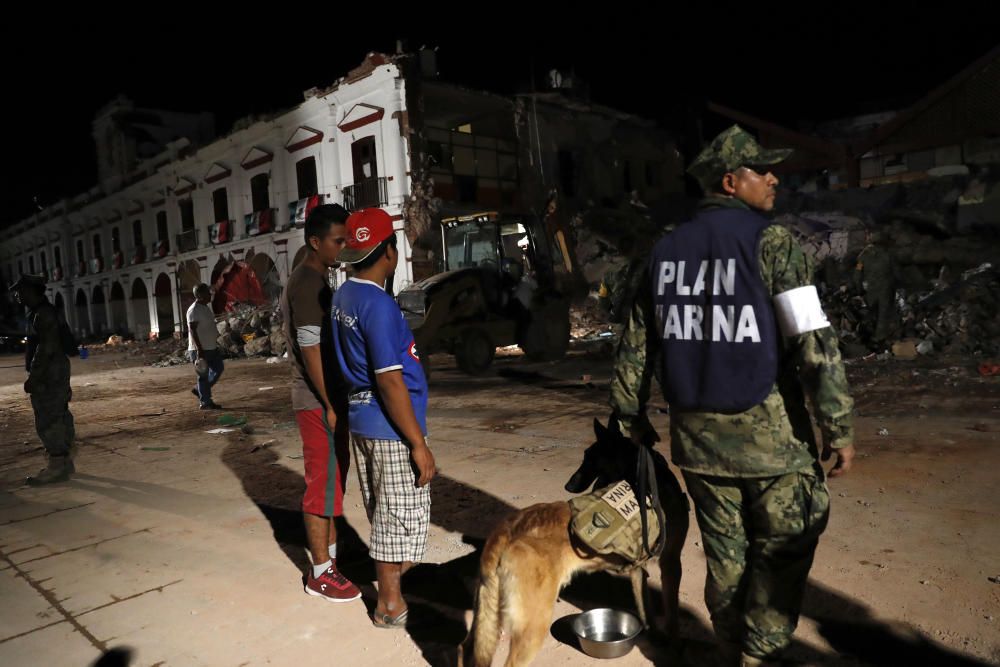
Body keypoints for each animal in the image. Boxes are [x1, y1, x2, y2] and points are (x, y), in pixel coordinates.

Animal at [458, 418, 688, 667]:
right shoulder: (671, 562)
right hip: (534, 626)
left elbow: (647, 609)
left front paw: (655, 635)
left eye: (590, 458)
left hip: (486, 616)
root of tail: (507, 530)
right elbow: (673, 615)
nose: (568, 485)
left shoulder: (638, 570)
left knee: (465, 647)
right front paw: (676, 648)